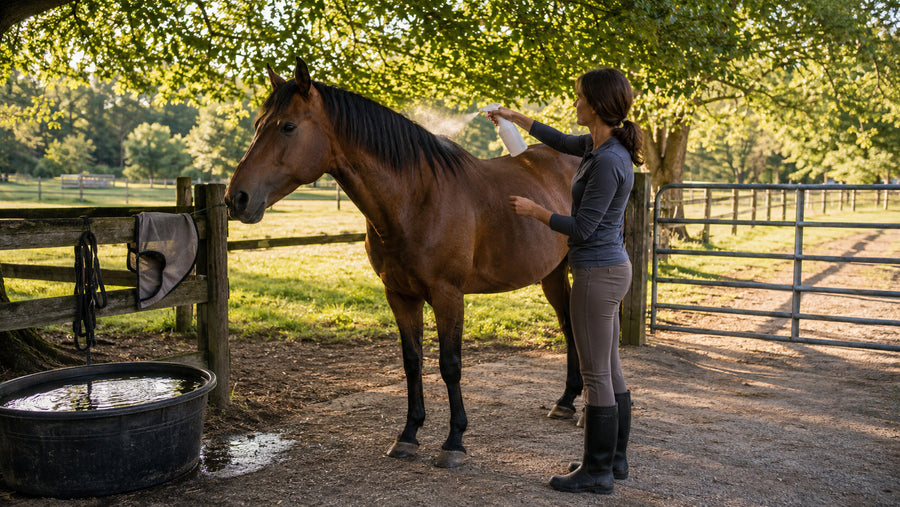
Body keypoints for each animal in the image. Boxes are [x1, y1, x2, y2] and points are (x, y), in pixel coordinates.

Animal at [225, 57, 583, 468]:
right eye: (257, 125)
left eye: (288, 126)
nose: (236, 198)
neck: (415, 199)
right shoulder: (398, 294)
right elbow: (412, 361)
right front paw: (408, 435)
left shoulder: (447, 295)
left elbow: (450, 364)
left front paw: (454, 441)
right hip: (553, 273)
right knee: (570, 325)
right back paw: (566, 401)